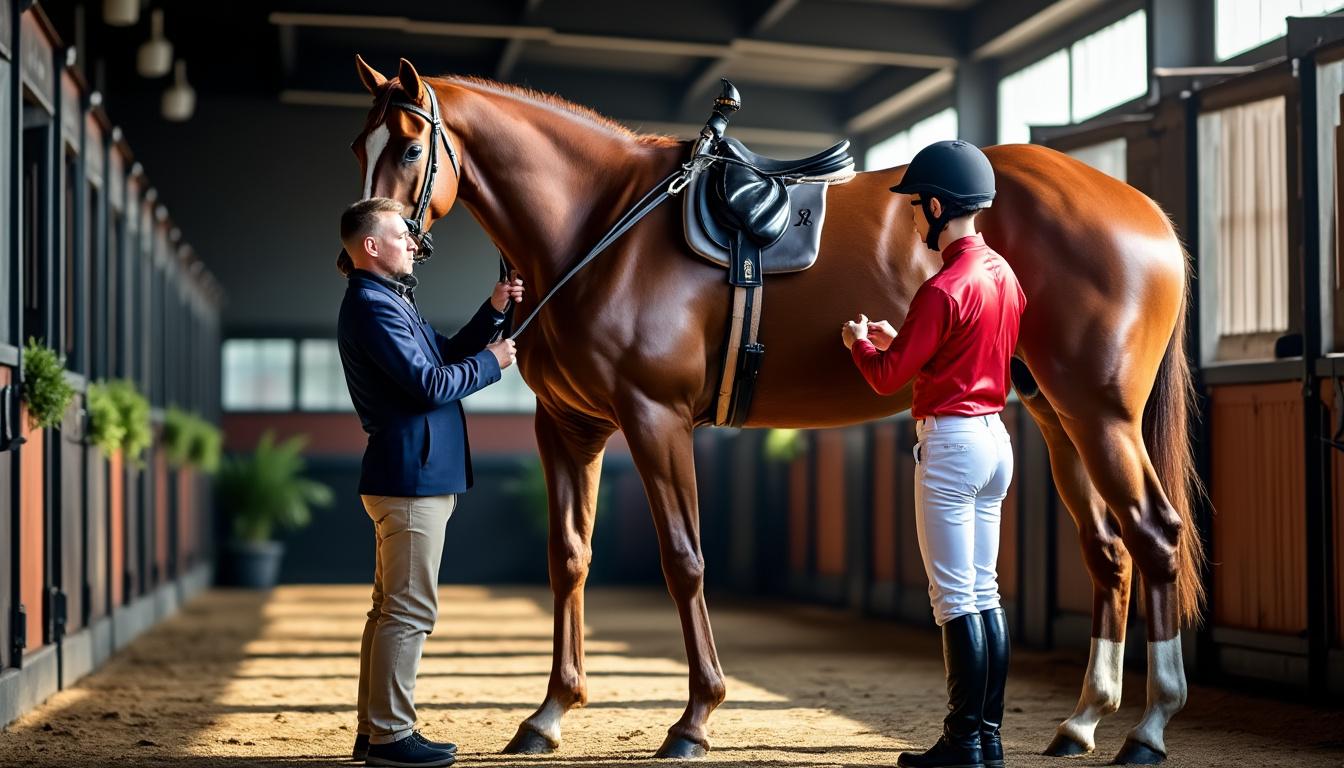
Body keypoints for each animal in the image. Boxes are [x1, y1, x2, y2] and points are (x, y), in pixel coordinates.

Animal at [349, 55, 1204, 766]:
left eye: (411, 150)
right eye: (360, 147)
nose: (364, 241)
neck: (599, 226)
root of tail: (1143, 212)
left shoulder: (654, 418)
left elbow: (685, 559)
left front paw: (694, 720)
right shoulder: (569, 428)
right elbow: (568, 559)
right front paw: (550, 714)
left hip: (1100, 414)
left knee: (1154, 535)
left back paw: (1151, 728)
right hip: (1058, 416)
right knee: (1109, 551)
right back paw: (1081, 723)